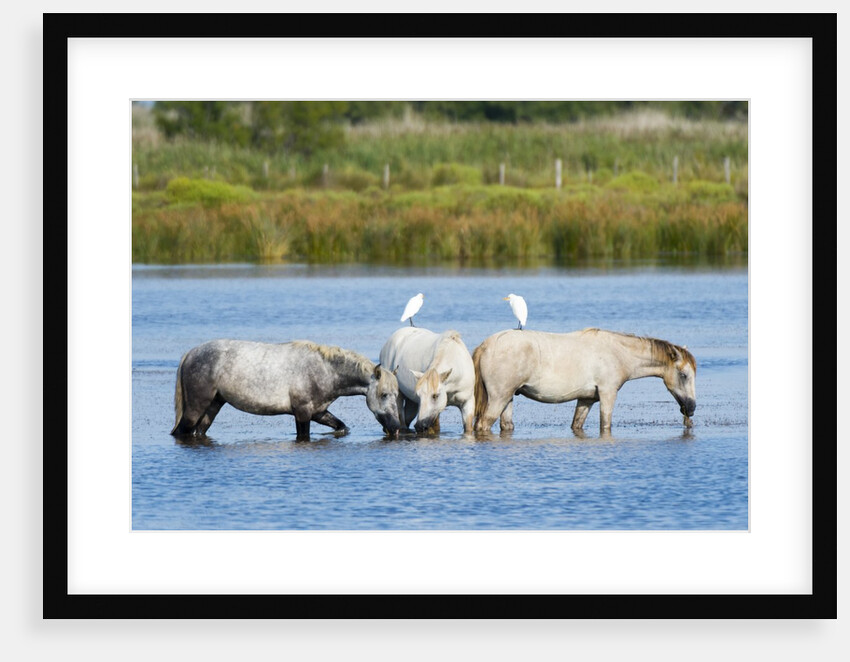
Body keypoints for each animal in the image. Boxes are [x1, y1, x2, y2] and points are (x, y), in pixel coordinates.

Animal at [170, 339, 402, 440]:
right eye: (383, 395)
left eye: (396, 396)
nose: (396, 427)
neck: (324, 370)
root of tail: (190, 354)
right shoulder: (302, 413)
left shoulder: (318, 412)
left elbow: (341, 427)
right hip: (196, 408)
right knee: (182, 432)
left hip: (213, 406)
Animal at [472, 328, 696, 434]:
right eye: (684, 375)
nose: (691, 408)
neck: (618, 353)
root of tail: (486, 345)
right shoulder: (607, 394)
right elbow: (605, 424)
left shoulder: (586, 399)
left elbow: (576, 425)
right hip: (499, 398)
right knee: (482, 424)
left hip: (509, 398)